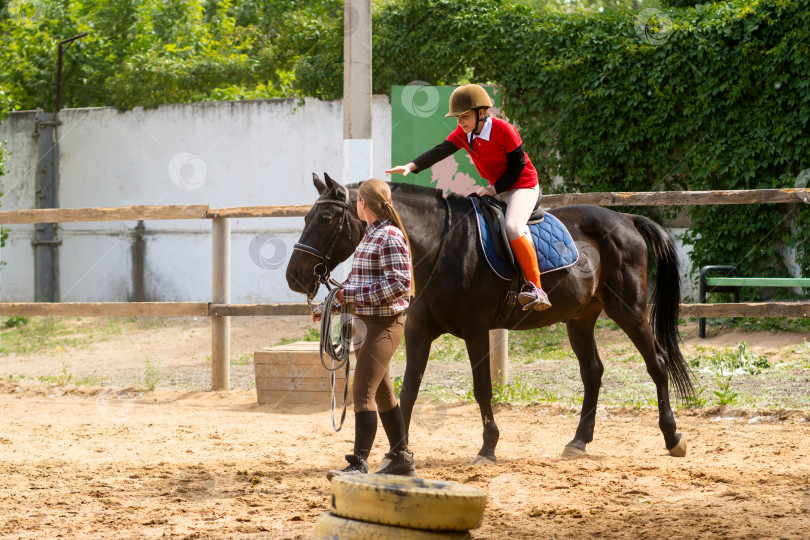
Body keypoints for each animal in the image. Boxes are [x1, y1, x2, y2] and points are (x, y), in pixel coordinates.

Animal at [284, 175, 688, 462]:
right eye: (305, 217)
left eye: (325, 218)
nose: (295, 276)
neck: (439, 246)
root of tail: (625, 218)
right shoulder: (418, 332)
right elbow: (409, 390)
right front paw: (398, 451)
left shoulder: (476, 331)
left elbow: (482, 388)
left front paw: (488, 447)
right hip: (580, 318)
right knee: (593, 372)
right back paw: (578, 441)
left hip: (629, 310)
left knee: (657, 363)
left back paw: (672, 436)